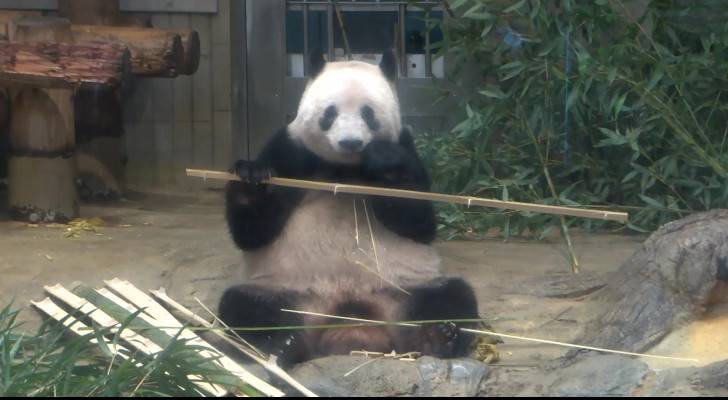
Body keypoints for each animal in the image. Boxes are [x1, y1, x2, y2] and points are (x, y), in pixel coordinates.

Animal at [220, 50, 484, 366]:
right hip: (284, 289)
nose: (350, 142)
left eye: (368, 113)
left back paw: (439, 336)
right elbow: (252, 234)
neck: (344, 170)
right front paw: (252, 176)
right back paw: (274, 345)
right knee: (245, 308)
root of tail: (348, 321)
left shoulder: (406, 146)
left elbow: (419, 224)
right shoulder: (291, 150)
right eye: (329, 113)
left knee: (451, 296)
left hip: (404, 288)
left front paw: (382, 161)